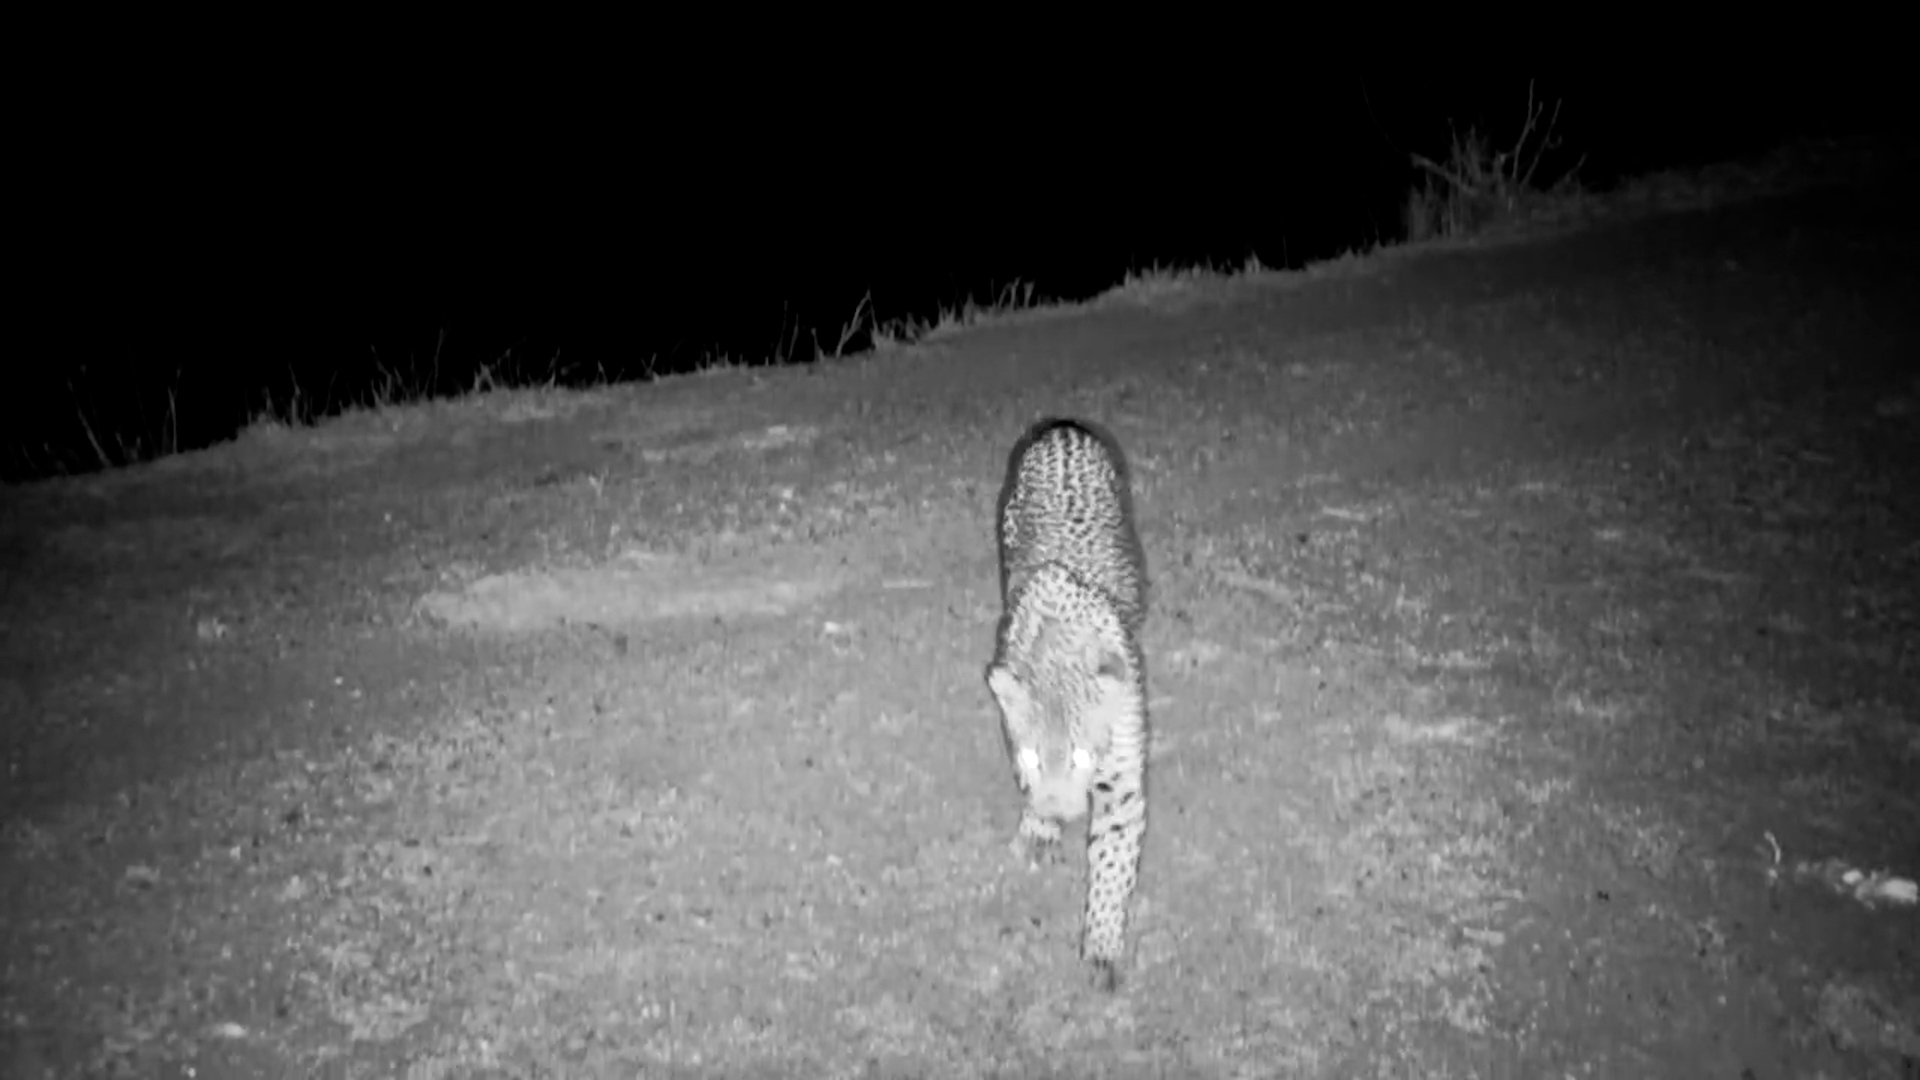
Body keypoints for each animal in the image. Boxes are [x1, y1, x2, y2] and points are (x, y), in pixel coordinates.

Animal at [986, 417, 1149, 991]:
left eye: (1081, 756)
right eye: (1032, 758)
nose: (1059, 811)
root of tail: (1062, 428)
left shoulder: (1121, 782)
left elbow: (1113, 861)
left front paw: (1100, 946)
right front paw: (1040, 828)